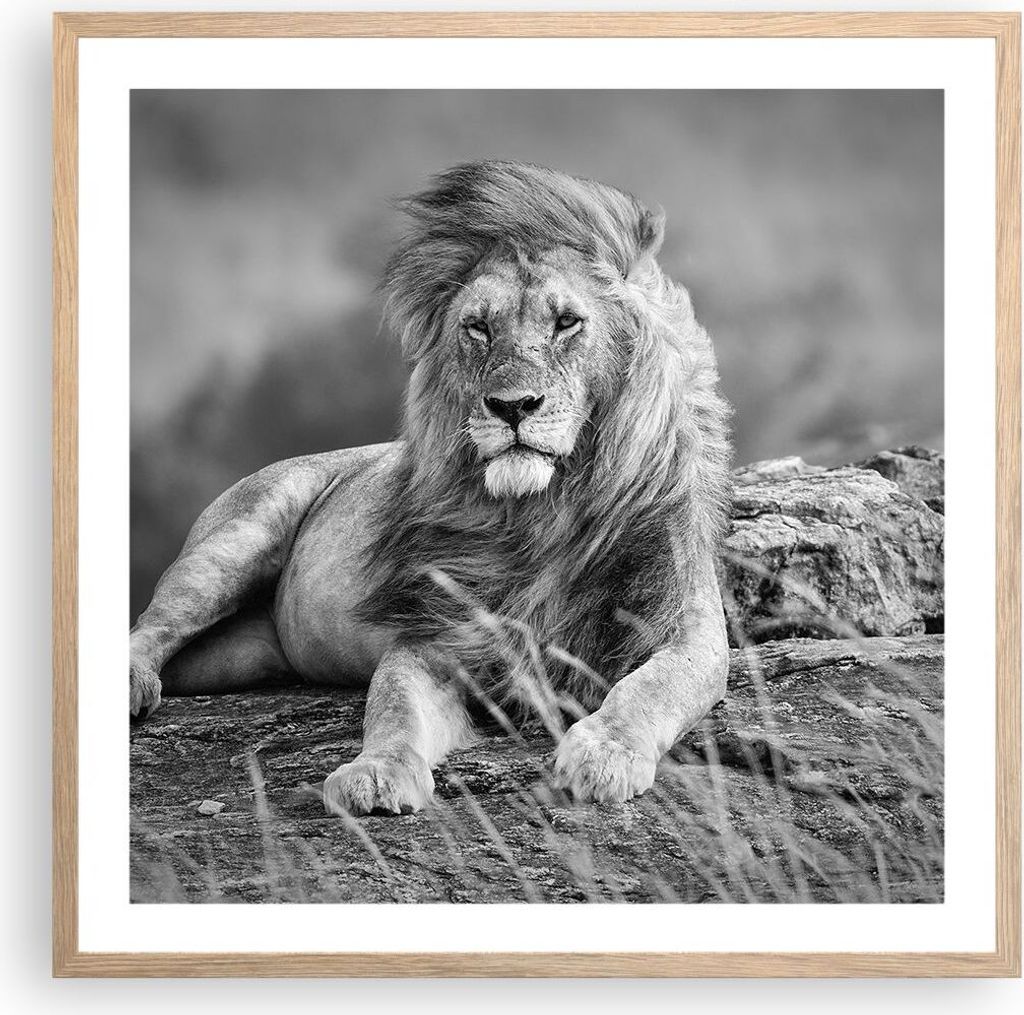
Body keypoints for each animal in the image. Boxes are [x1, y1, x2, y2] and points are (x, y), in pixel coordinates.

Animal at [129, 160, 733, 814]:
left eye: (567, 322)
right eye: (478, 328)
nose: (511, 406)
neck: (543, 513)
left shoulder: (686, 625)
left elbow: (650, 688)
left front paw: (604, 754)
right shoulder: (437, 635)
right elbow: (393, 706)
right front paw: (375, 773)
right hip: (233, 543)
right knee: (149, 626)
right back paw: (132, 682)